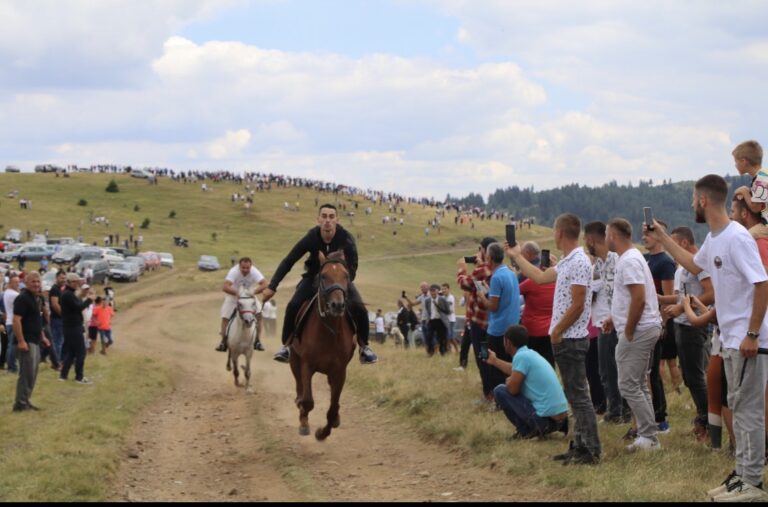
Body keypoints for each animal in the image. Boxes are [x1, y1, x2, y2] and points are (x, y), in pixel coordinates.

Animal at [292, 250, 356, 440]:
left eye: (346, 275)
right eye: (324, 276)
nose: (337, 305)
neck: (329, 332)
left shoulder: (340, 371)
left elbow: (333, 407)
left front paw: (322, 433)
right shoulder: (307, 365)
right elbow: (307, 401)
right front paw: (304, 423)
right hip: (294, 359)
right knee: (299, 388)